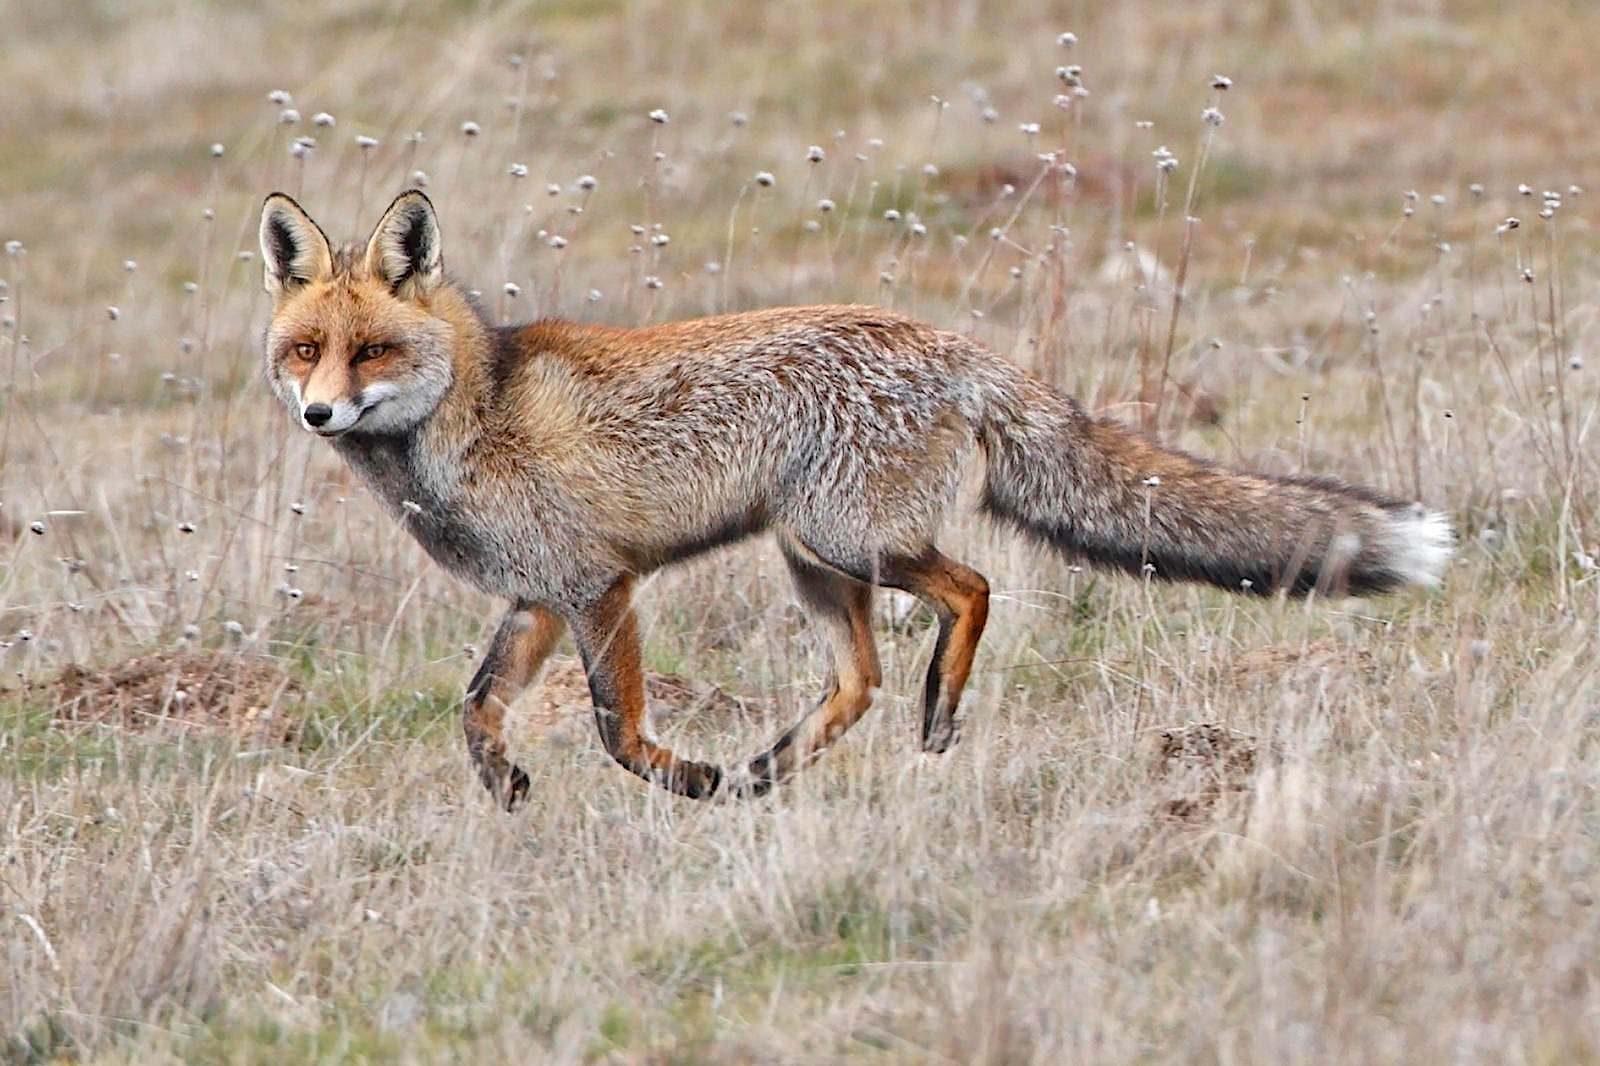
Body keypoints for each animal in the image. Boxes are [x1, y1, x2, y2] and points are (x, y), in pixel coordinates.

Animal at [259, 189, 1454, 808]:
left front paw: (682, 778)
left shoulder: (601, 585)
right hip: (814, 559)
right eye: (307, 350)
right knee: (862, 678)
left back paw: (930, 715)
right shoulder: (539, 596)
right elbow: (473, 708)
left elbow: (614, 727)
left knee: (969, 592)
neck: (475, 410)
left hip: (845, 539)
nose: (318, 415)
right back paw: (770, 769)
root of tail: (955, 345)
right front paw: (508, 787)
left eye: (372, 352)